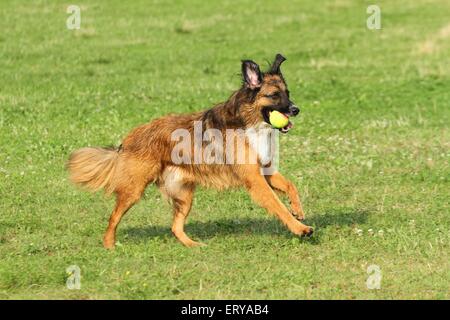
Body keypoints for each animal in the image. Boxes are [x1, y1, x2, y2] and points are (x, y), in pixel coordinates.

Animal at [67, 53, 312, 248]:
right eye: (274, 95)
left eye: (288, 92)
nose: (296, 109)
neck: (248, 122)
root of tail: (128, 139)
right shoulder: (254, 179)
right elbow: (277, 204)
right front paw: (300, 228)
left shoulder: (265, 171)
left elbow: (290, 185)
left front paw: (298, 209)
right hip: (134, 190)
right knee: (113, 218)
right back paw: (109, 245)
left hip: (184, 194)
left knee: (175, 227)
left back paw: (193, 245)